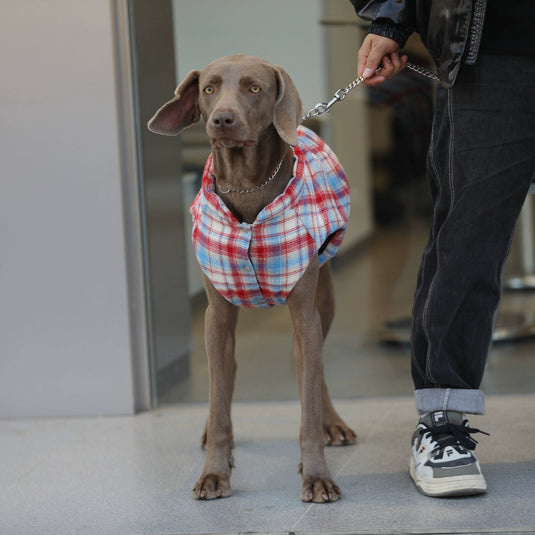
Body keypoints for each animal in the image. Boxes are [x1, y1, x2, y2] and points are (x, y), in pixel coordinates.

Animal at [148, 54, 356, 502]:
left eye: (254, 88)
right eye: (209, 88)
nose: (222, 120)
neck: (247, 187)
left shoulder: (304, 314)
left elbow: (308, 400)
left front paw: (316, 475)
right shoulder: (217, 315)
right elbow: (219, 393)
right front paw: (214, 472)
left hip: (325, 300)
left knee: (313, 369)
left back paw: (331, 422)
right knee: (223, 377)